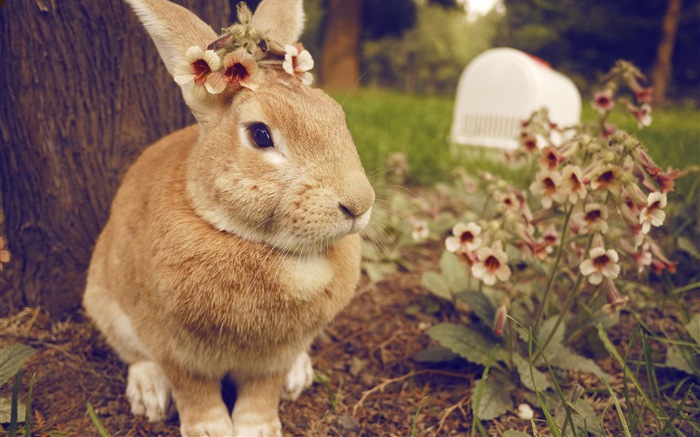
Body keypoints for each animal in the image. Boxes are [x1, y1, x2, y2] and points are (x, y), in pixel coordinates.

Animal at [84, 0, 374, 434]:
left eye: (337, 117)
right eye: (260, 135)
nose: (359, 204)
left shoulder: (275, 356)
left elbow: (263, 391)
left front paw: (258, 428)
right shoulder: (174, 348)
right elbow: (194, 391)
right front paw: (210, 429)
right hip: (103, 300)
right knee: (134, 354)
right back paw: (149, 394)